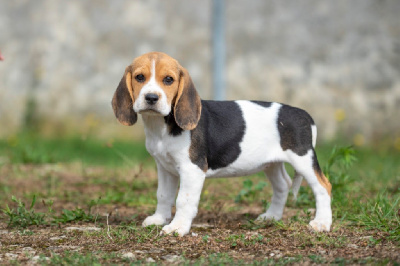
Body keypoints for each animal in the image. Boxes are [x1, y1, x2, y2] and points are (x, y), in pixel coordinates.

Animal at [111, 52, 332, 237]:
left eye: (168, 80)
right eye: (140, 77)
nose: (151, 98)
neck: (161, 125)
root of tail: (304, 114)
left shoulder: (192, 169)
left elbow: (183, 199)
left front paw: (177, 227)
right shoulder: (164, 167)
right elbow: (163, 195)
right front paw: (159, 219)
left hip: (303, 158)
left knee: (323, 186)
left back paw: (322, 223)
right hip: (271, 163)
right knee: (282, 185)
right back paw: (272, 216)